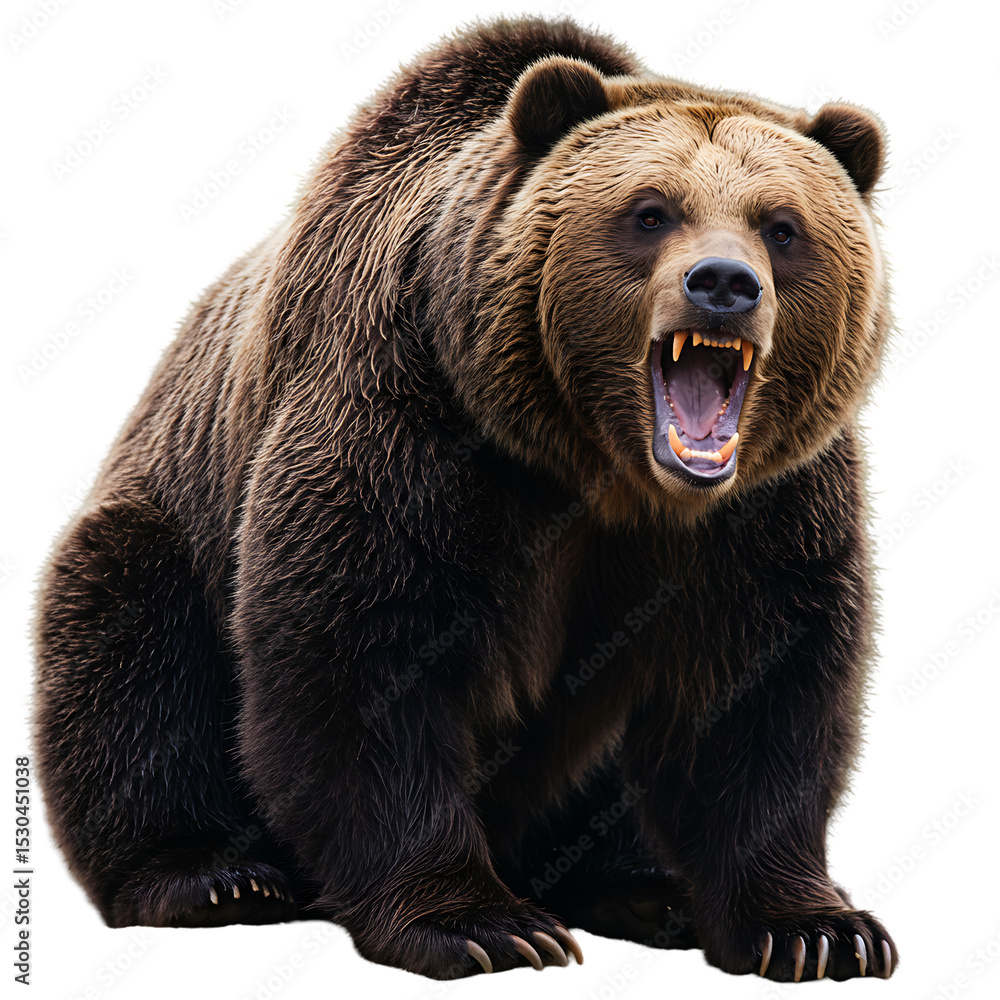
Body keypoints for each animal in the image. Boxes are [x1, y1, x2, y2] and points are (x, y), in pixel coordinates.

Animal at [33, 15, 896, 983]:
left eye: (782, 226)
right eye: (650, 211)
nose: (722, 283)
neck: (604, 474)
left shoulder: (767, 510)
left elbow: (761, 688)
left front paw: (819, 928)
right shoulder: (413, 425)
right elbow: (366, 657)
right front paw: (481, 923)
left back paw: (646, 891)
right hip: (167, 516)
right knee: (129, 642)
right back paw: (210, 876)